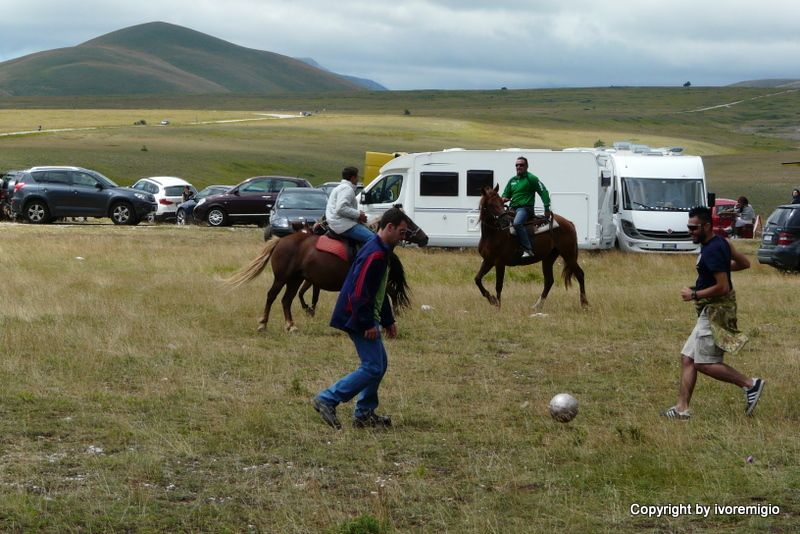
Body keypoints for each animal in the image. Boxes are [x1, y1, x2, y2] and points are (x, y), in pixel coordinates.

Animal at [227, 217, 424, 330]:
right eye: (408, 222)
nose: (424, 237)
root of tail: (280, 241)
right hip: (282, 277)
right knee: (272, 296)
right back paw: (263, 323)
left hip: (295, 279)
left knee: (286, 300)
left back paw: (291, 326)